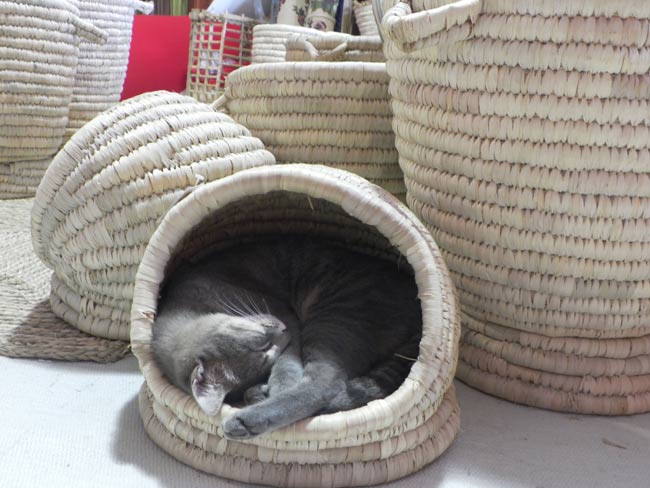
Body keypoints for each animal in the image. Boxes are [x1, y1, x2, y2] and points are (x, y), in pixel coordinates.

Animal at [152, 235, 422, 439]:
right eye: (264, 351)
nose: (280, 331)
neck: (187, 305)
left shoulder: (286, 316)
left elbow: (288, 363)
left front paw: (280, 385)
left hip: (335, 315)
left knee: (324, 385)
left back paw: (247, 418)